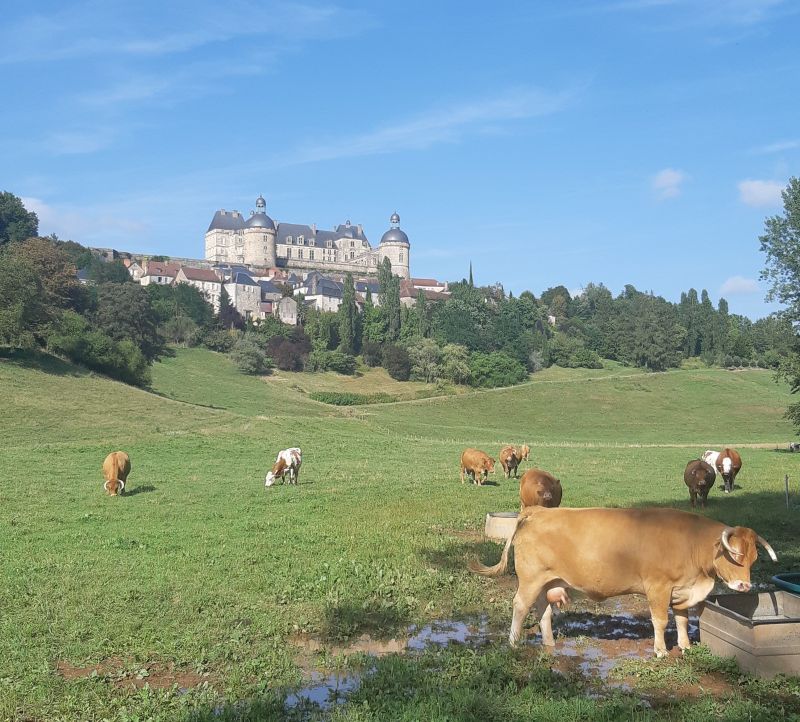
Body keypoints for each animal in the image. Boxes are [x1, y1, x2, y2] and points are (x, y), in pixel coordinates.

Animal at [468, 504, 776, 656]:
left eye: (753, 558)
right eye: (734, 555)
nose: (745, 586)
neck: (691, 542)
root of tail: (538, 511)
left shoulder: (682, 590)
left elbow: (681, 619)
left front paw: (686, 646)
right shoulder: (658, 587)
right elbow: (660, 620)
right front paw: (661, 650)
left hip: (547, 581)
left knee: (543, 609)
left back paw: (549, 643)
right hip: (530, 579)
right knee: (520, 605)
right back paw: (513, 642)